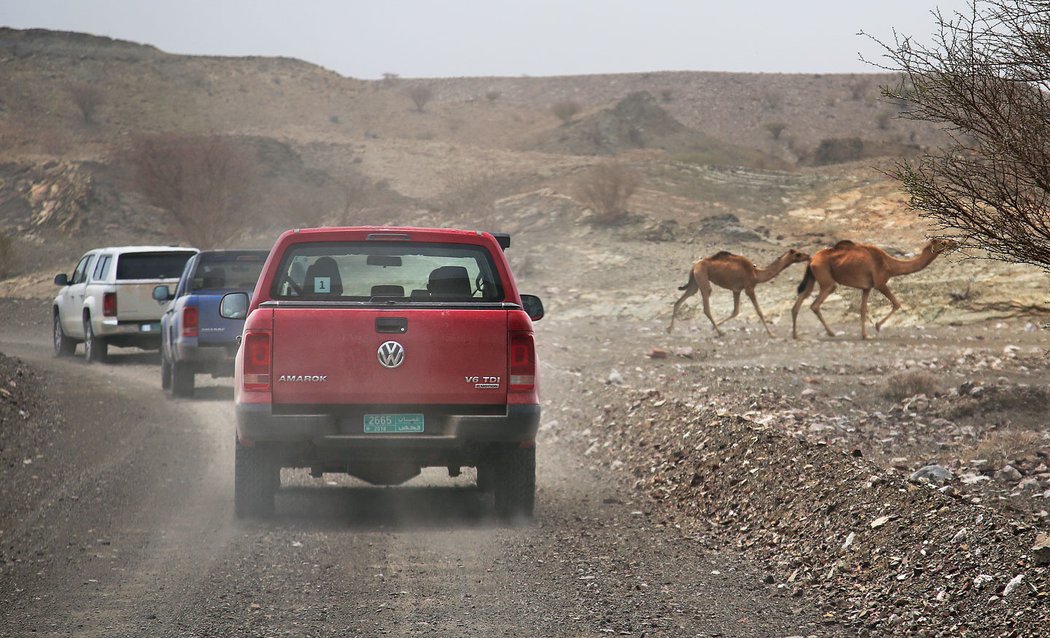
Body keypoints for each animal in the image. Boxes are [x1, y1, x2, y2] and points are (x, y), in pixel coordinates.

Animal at [667, 250, 806, 339]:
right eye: (798, 254)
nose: (808, 255)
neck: (756, 273)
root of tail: (694, 266)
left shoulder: (736, 290)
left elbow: (735, 311)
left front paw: (713, 327)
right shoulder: (749, 288)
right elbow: (759, 311)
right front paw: (771, 334)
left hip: (695, 283)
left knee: (679, 301)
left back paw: (670, 329)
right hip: (703, 279)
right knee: (706, 307)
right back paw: (720, 333)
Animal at [789, 238, 957, 339]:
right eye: (943, 242)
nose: (955, 243)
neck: (891, 265)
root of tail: (812, 260)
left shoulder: (867, 288)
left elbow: (863, 309)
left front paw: (865, 335)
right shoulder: (880, 283)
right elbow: (896, 303)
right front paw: (877, 326)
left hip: (812, 278)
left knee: (799, 302)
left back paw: (796, 335)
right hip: (827, 280)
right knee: (815, 304)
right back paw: (831, 333)